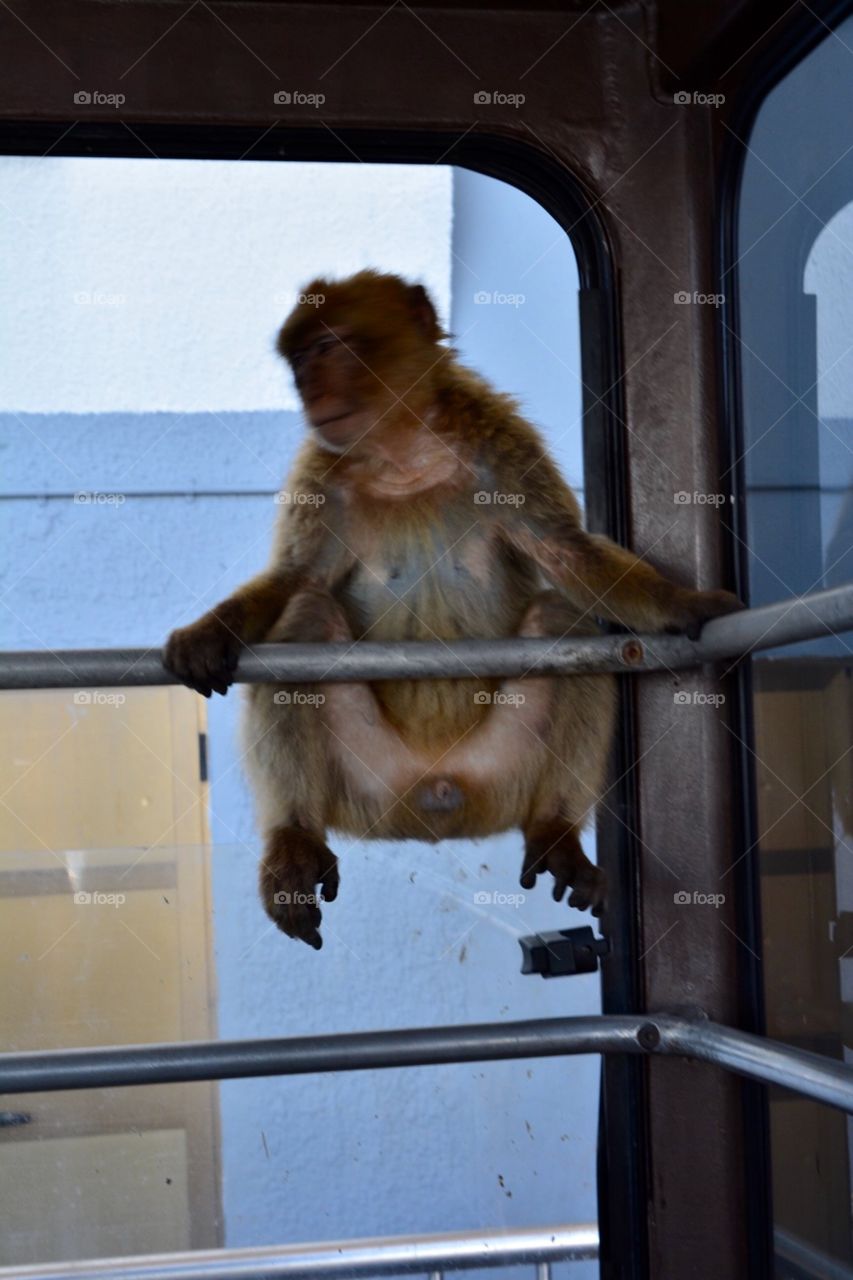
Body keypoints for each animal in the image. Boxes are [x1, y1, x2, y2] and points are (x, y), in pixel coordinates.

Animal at [164, 269, 742, 948]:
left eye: (328, 348)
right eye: (300, 359)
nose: (308, 386)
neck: (403, 453)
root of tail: (433, 794)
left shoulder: (499, 443)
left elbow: (567, 555)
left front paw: (684, 603)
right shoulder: (321, 472)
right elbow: (295, 579)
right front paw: (209, 632)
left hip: (500, 774)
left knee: (561, 624)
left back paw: (556, 828)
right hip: (368, 782)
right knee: (305, 624)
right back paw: (295, 837)